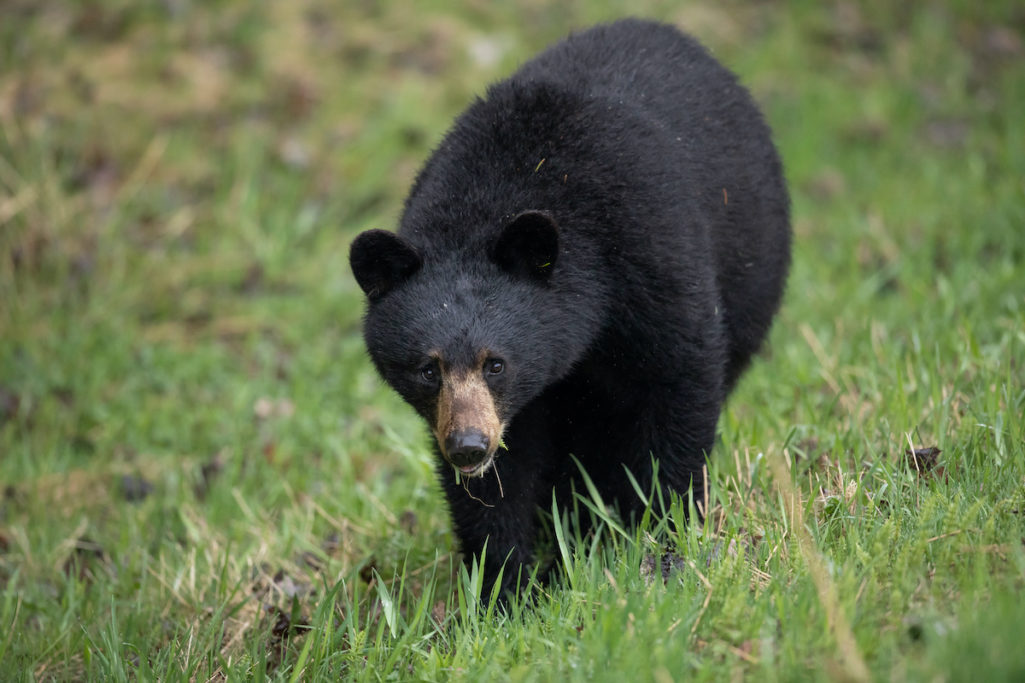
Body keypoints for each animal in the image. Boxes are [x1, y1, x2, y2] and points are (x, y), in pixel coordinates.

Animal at [349, 18, 790, 599]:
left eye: (496, 363)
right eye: (427, 369)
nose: (468, 446)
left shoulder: (653, 259)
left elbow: (679, 386)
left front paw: (664, 547)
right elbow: (500, 482)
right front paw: (505, 587)